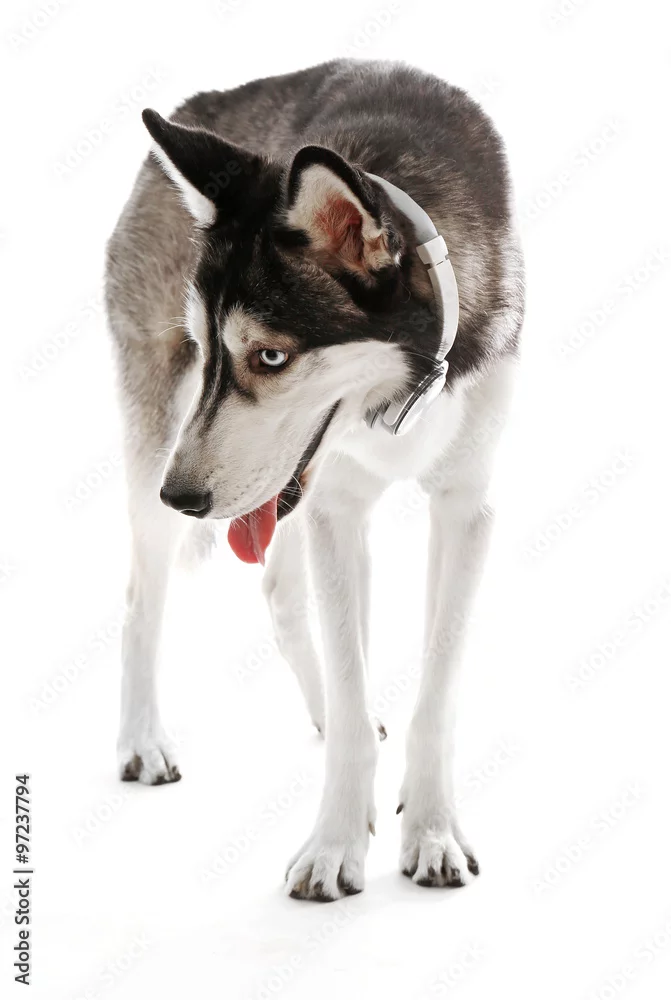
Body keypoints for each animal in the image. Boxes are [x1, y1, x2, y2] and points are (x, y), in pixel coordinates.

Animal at [105, 59, 524, 901]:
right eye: (208, 348)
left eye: (270, 356)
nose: (182, 496)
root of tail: (202, 102)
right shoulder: (334, 509)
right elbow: (352, 679)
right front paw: (334, 846)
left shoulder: (464, 507)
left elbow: (433, 692)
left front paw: (431, 833)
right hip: (158, 437)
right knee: (142, 599)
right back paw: (143, 742)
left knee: (279, 593)